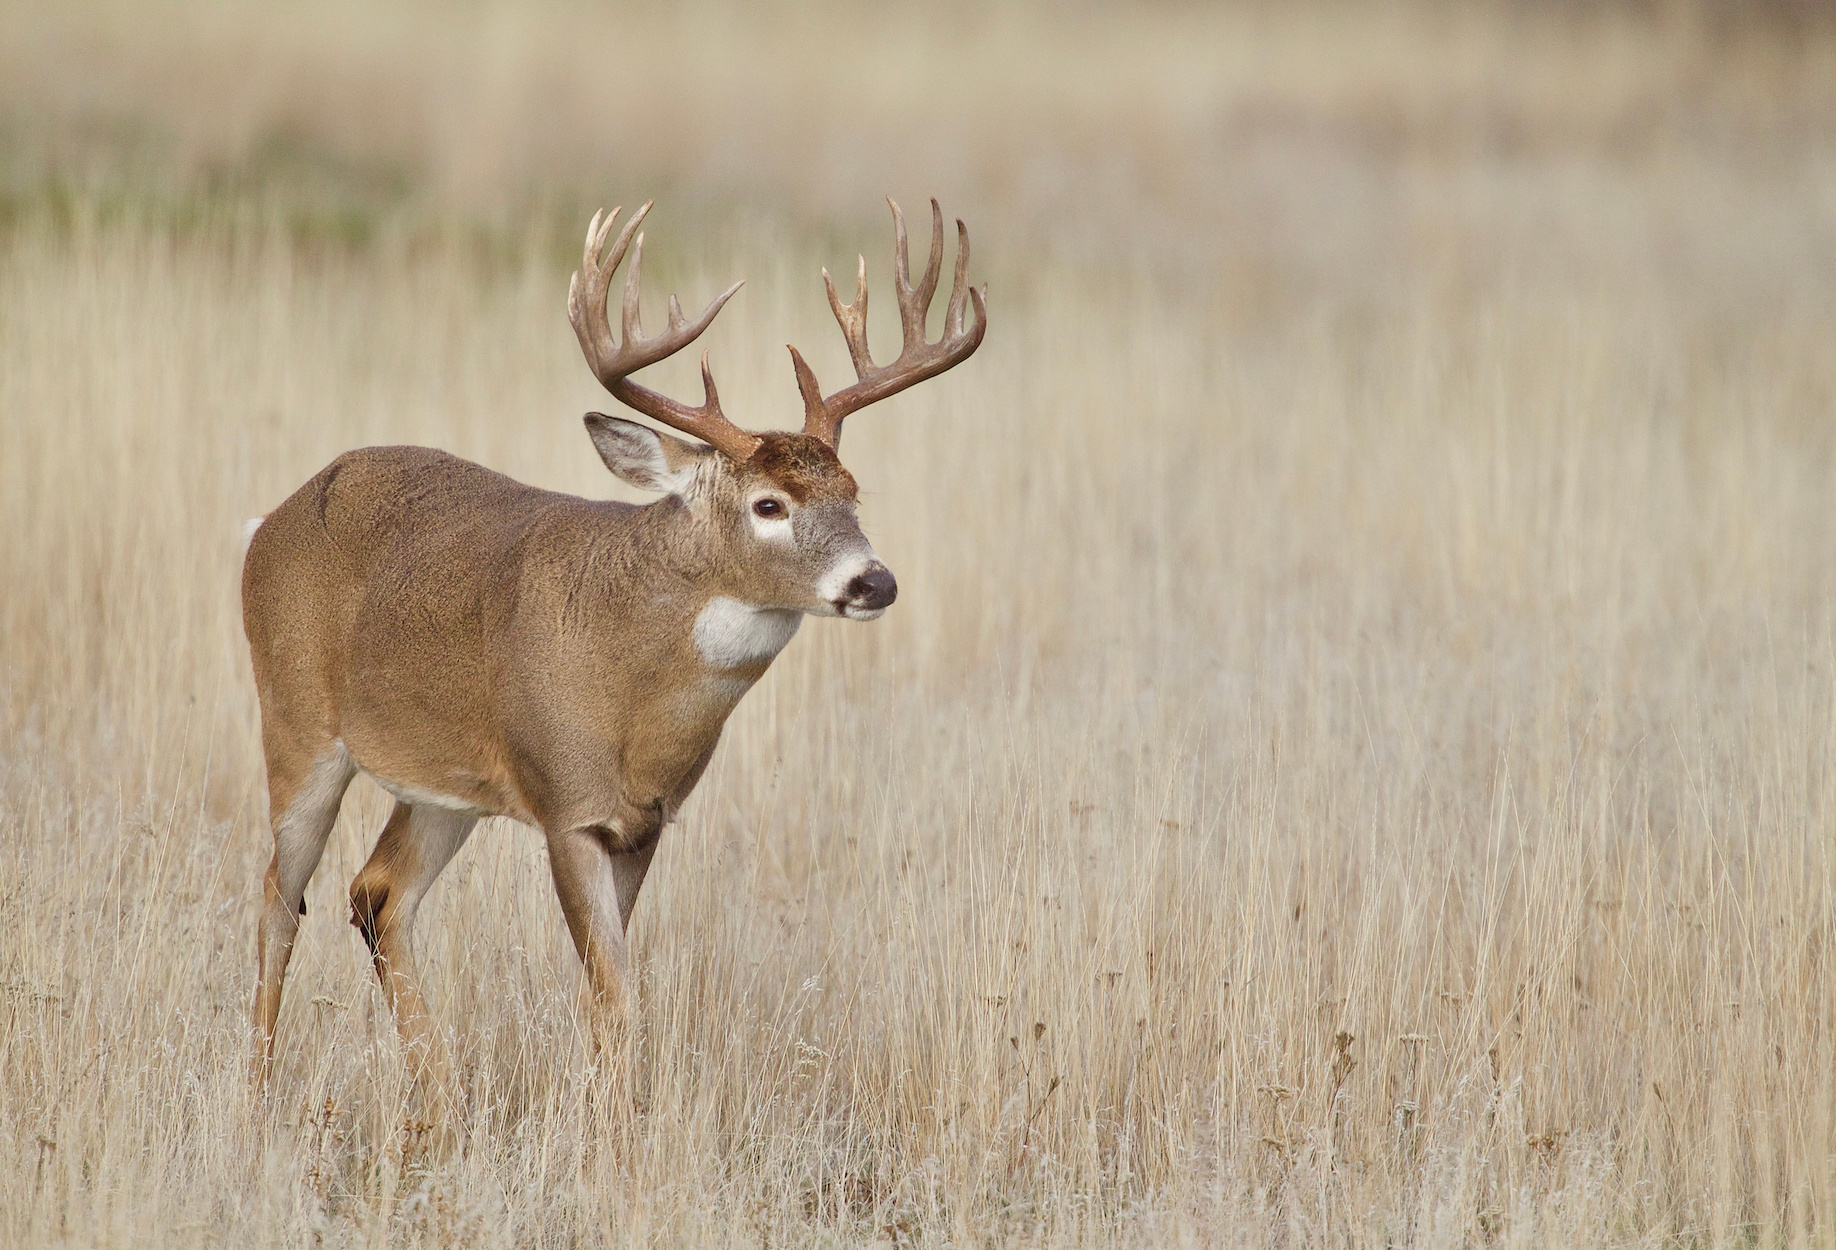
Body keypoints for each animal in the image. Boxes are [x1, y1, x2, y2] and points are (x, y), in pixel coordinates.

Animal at [244, 192, 991, 1093]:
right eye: (769, 504)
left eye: (851, 492)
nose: (873, 582)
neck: (634, 689)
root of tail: (268, 523)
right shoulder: (568, 805)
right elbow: (615, 998)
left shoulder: (645, 823)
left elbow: (604, 999)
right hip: (296, 723)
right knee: (280, 898)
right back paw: (258, 1090)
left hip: (440, 783)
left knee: (378, 892)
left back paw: (438, 1099)